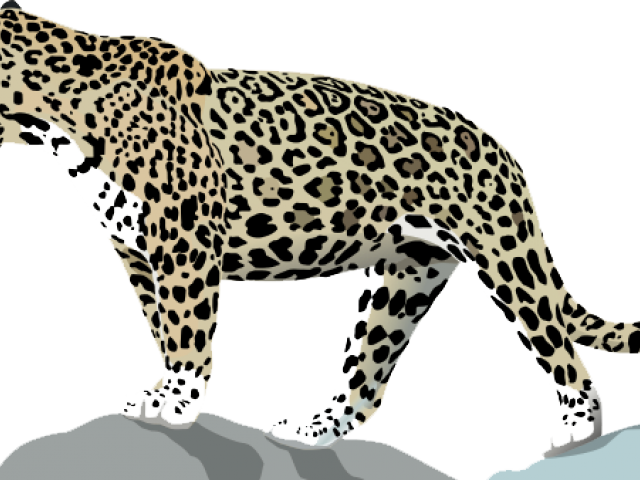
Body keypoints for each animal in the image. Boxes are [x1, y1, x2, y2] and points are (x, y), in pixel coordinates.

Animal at [1, 0, 638, 458]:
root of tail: (504, 151)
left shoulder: (184, 229)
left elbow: (186, 328)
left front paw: (176, 397)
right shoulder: (133, 244)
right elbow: (162, 323)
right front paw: (169, 394)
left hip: (506, 256)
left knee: (570, 360)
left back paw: (574, 442)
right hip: (407, 279)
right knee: (372, 379)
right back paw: (314, 429)